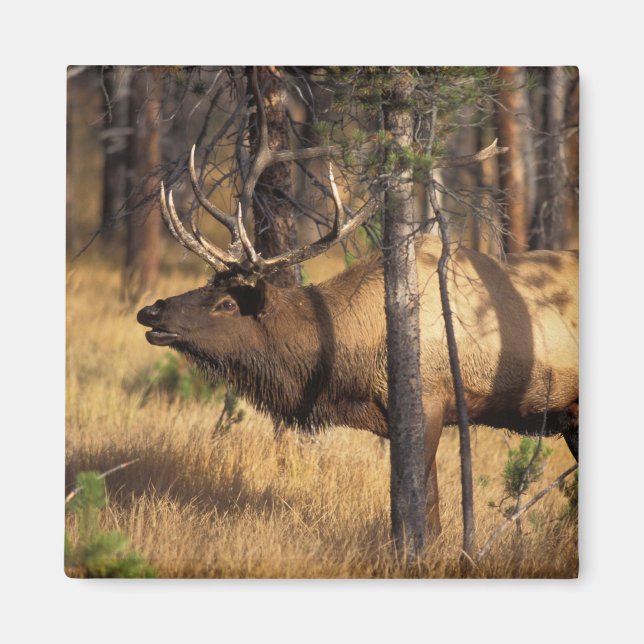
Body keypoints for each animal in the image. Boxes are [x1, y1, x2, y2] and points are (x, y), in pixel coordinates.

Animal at [137, 99, 578, 539]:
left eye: (227, 304)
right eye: (208, 283)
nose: (151, 310)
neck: (348, 369)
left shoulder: (430, 400)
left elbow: (423, 504)